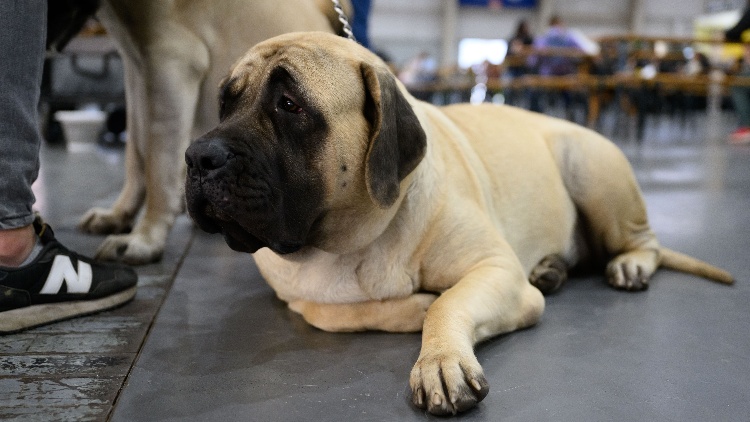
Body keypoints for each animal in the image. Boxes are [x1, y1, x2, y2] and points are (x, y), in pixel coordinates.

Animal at [184, 33, 736, 416]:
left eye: (290, 105)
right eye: (226, 102)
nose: (197, 156)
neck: (357, 238)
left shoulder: (495, 270)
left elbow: (448, 304)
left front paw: (440, 358)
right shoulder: (296, 294)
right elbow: (328, 311)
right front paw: (413, 307)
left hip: (591, 166)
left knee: (644, 242)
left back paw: (629, 265)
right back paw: (550, 269)